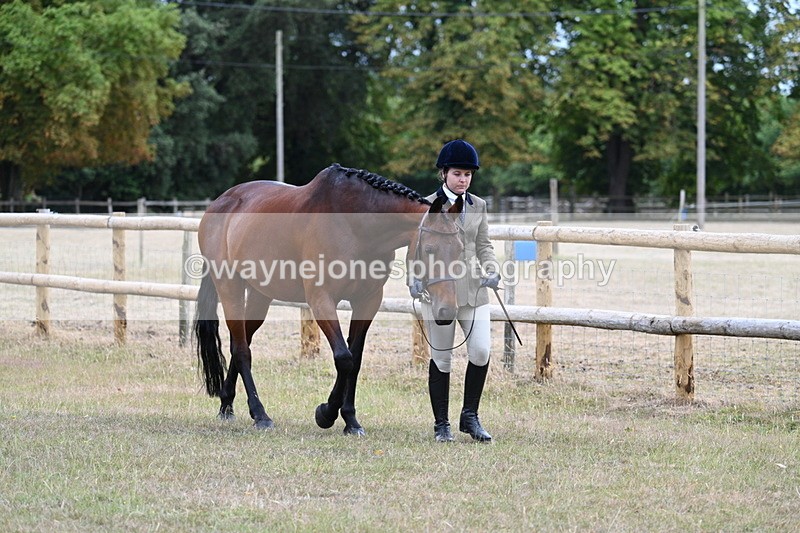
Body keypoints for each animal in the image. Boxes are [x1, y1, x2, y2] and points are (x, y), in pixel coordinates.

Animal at [193, 163, 464, 434]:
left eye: (460, 249)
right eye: (429, 249)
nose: (447, 310)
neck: (354, 225)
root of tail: (220, 203)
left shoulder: (368, 301)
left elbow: (355, 360)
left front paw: (350, 420)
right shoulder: (321, 300)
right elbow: (344, 358)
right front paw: (326, 413)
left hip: (261, 295)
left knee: (241, 342)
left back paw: (227, 403)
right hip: (230, 288)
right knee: (241, 350)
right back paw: (260, 415)